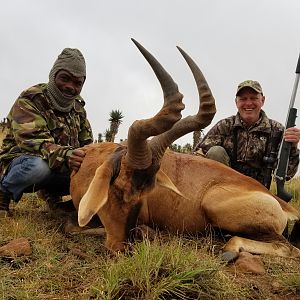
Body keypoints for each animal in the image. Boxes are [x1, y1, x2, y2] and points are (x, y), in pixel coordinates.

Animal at [69, 39, 300, 260]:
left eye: (142, 193)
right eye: (118, 188)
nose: (121, 248)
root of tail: (285, 206)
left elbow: (74, 228)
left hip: (215, 205)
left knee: (289, 248)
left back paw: (229, 250)